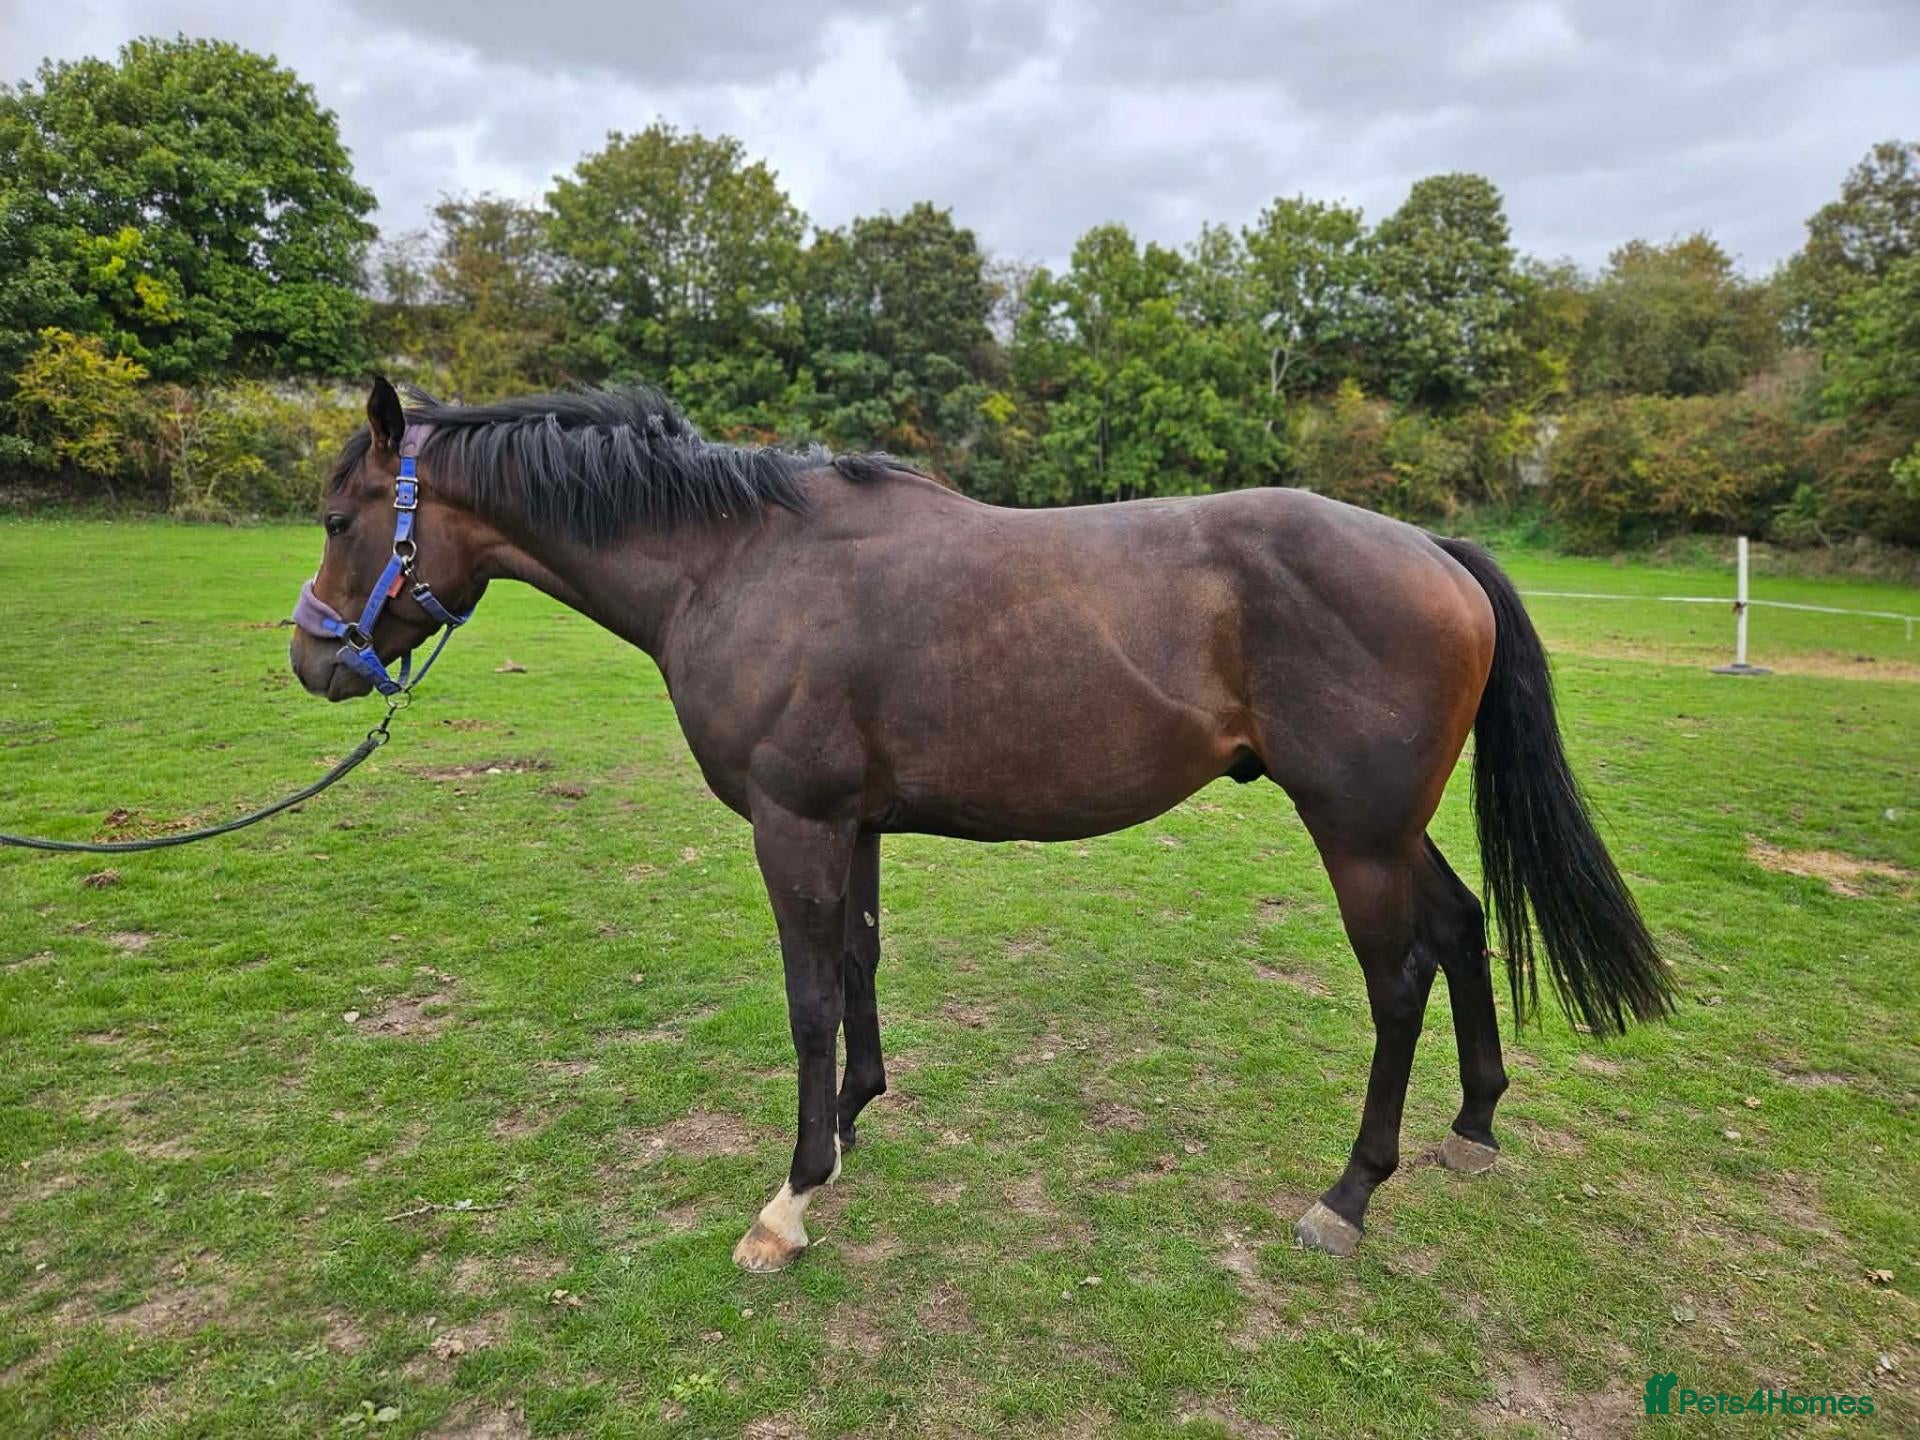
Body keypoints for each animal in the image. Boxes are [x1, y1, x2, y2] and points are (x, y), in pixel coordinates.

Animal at [291, 377, 1673, 1271]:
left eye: (339, 518)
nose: (313, 660)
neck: (736, 566)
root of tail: (1435, 551)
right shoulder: (849, 824)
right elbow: (856, 966)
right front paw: (851, 1127)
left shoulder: (792, 823)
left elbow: (806, 995)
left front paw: (789, 1199)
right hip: (1389, 829)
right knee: (1463, 925)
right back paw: (1474, 1127)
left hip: (1357, 834)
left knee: (1398, 977)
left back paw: (1349, 1196)